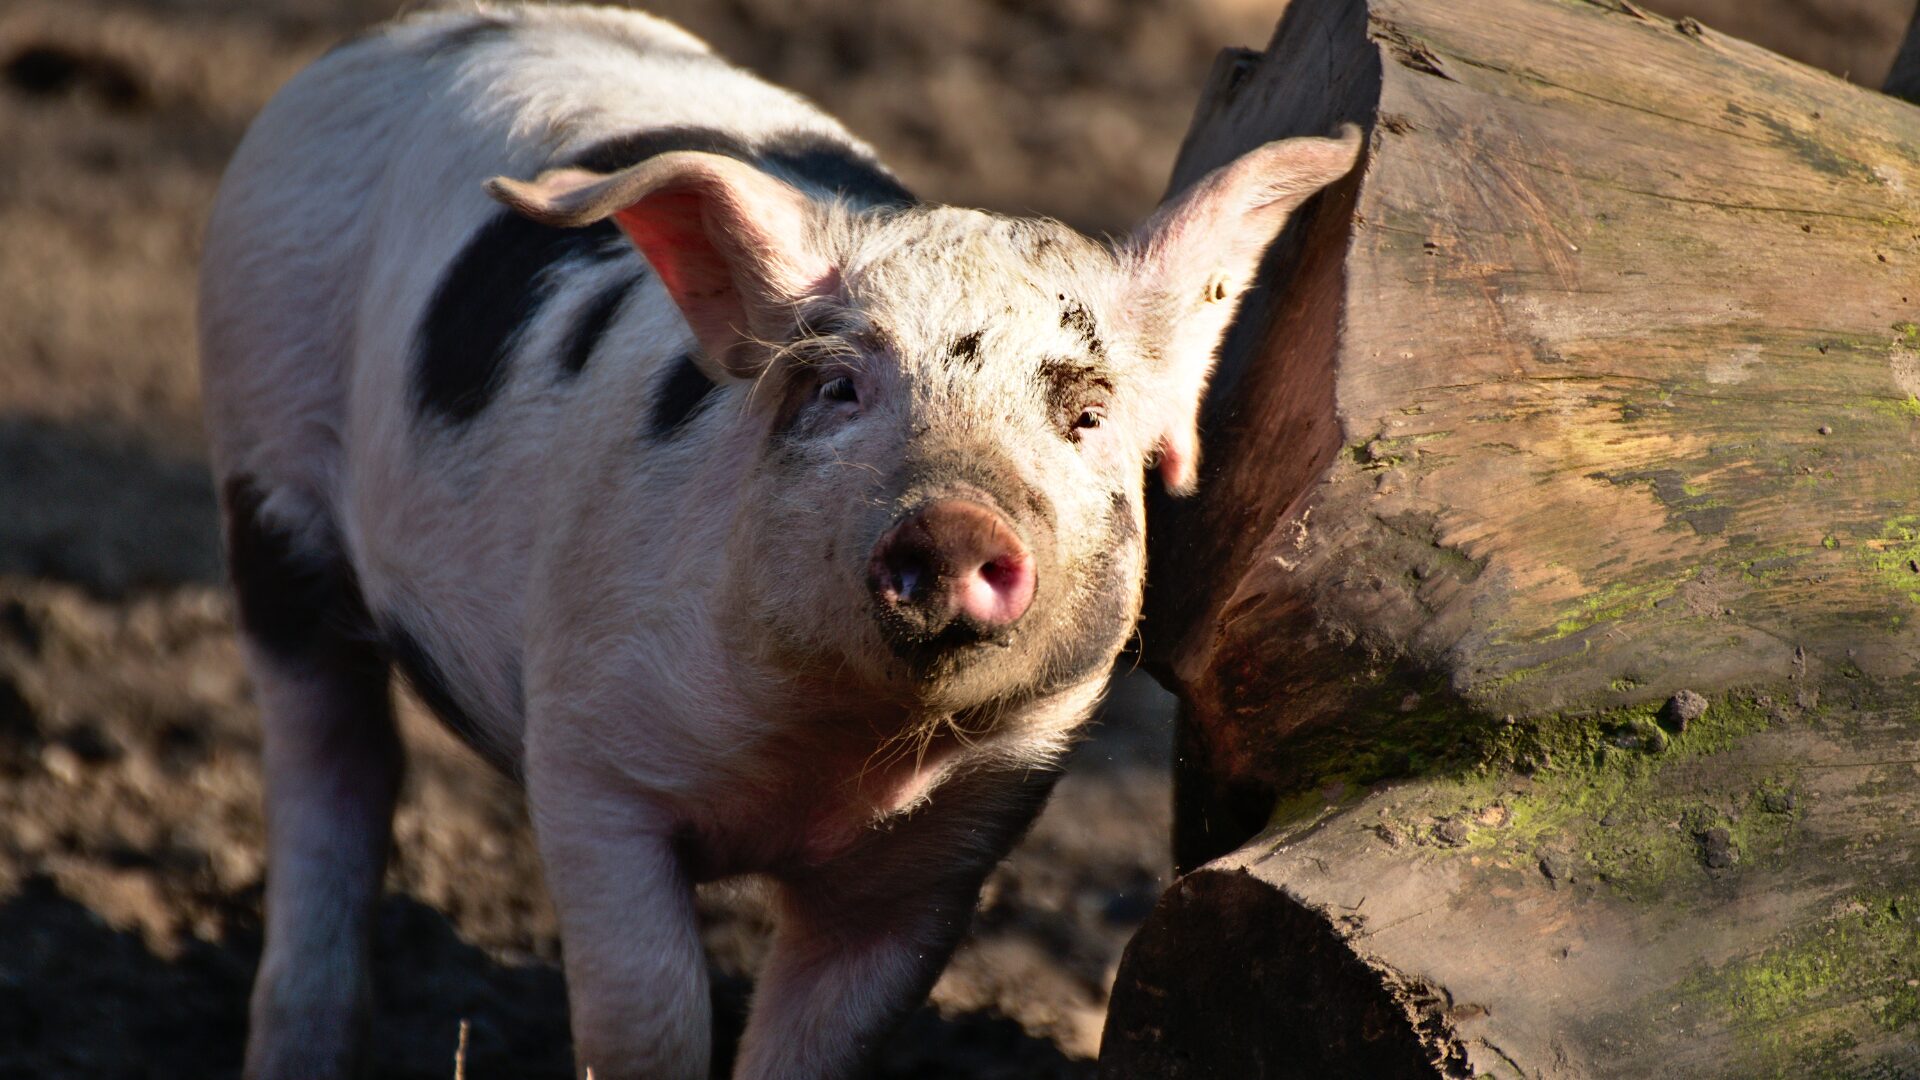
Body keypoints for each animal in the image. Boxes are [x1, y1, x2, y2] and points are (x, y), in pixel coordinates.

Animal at [198, 4, 1367, 1068]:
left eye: (1086, 415)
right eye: (840, 388)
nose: (953, 519)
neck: (829, 762)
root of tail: (391, 37)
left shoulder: (947, 854)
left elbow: (821, 1039)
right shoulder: (588, 761)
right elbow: (650, 1017)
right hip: (266, 464)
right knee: (334, 764)